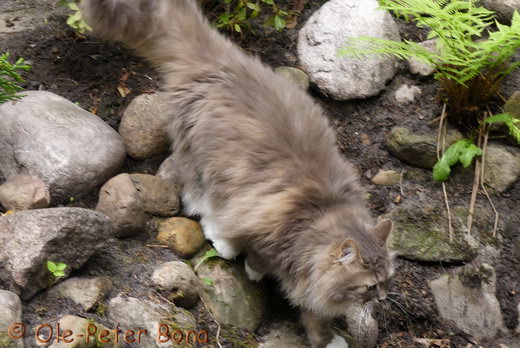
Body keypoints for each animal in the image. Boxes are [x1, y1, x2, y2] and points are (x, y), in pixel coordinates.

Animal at [82, 1, 394, 346]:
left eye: (387, 280)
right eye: (370, 286)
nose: (383, 298)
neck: (319, 213)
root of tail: (220, 59)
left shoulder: (306, 275)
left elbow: (314, 315)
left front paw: (326, 339)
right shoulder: (266, 228)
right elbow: (259, 255)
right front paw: (254, 269)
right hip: (202, 163)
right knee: (200, 203)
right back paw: (222, 240)